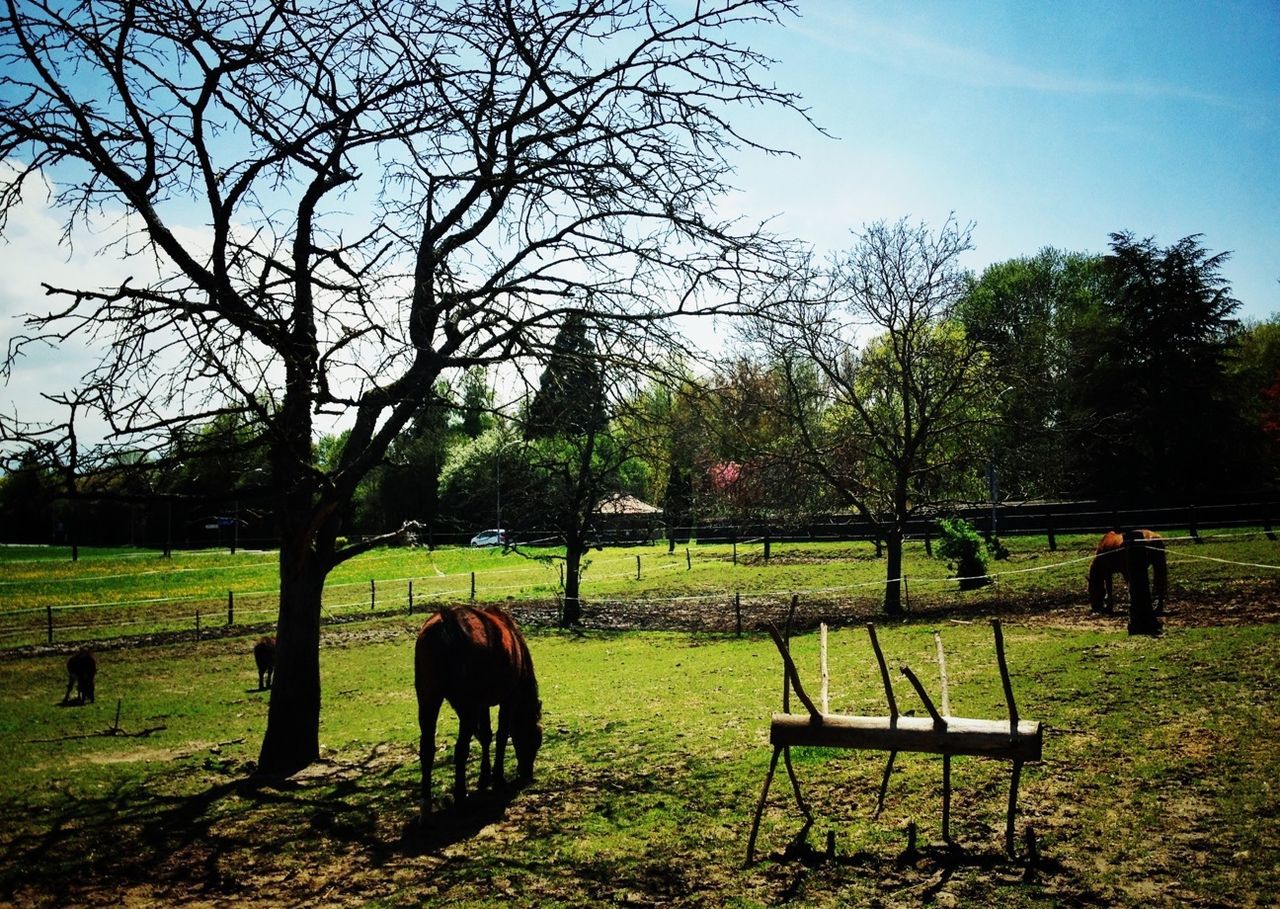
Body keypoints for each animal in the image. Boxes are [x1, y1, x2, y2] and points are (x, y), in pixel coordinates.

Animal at [414, 609, 540, 824]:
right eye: (535, 739)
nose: (527, 773)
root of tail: (448, 622)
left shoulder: (482, 704)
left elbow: (486, 736)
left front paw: (484, 776)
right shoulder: (508, 699)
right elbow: (501, 735)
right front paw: (497, 778)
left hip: (428, 699)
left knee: (427, 749)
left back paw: (426, 806)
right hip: (467, 707)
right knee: (461, 749)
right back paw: (460, 798)